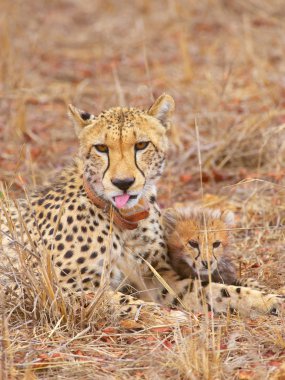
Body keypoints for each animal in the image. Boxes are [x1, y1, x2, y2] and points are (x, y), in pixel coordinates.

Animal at [0, 94, 282, 318]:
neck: (125, 219)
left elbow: (220, 292)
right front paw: (172, 318)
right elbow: (124, 302)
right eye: (101, 148)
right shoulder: (61, 287)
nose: (123, 183)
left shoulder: (157, 278)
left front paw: (270, 301)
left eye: (142, 145)